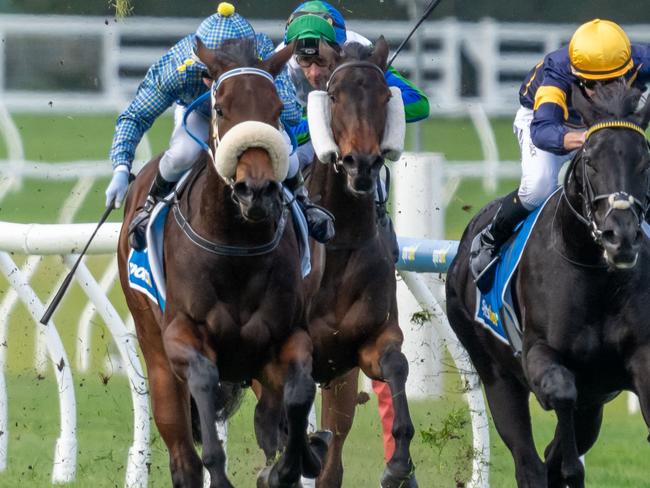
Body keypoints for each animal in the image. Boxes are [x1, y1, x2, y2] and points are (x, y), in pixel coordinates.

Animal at [116, 38, 326, 488]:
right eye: (221, 108)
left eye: (276, 110)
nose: (256, 190)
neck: (235, 248)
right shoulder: (181, 334)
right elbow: (203, 382)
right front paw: (221, 465)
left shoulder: (287, 335)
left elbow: (300, 391)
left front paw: (294, 462)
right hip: (154, 352)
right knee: (183, 455)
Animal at [300, 39, 416, 488]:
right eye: (334, 96)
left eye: (385, 96)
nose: (361, 164)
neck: (338, 242)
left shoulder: (364, 346)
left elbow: (397, 364)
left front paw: (398, 464)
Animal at [448, 81, 650, 488]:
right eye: (590, 160)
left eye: (644, 162)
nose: (621, 236)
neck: (594, 273)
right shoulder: (539, 354)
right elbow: (561, 393)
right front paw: (570, 466)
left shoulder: (635, 360)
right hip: (495, 374)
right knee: (528, 462)